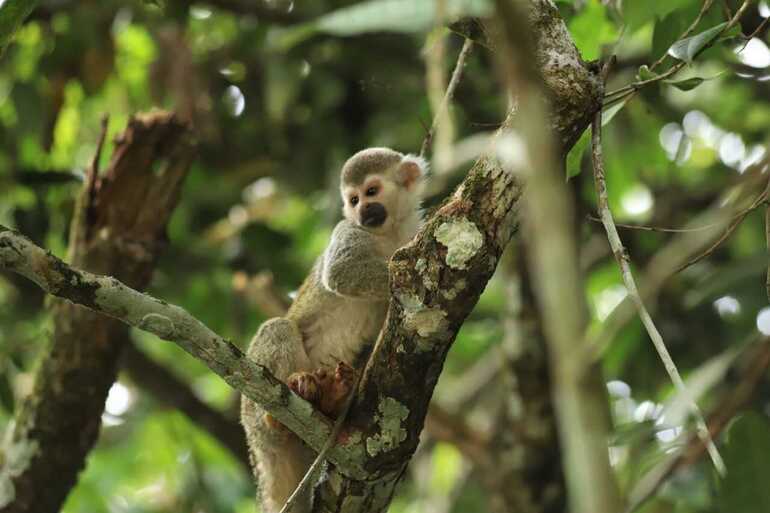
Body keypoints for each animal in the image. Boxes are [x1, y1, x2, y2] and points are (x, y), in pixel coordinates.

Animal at [240, 147, 428, 513]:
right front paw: (401, 269)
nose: (363, 211)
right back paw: (283, 409)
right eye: (353, 200)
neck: (389, 234)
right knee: (278, 328)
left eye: (371, 192)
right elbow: (341, 271)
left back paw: (331, 397)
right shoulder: (348, 229)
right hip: (252, 417)